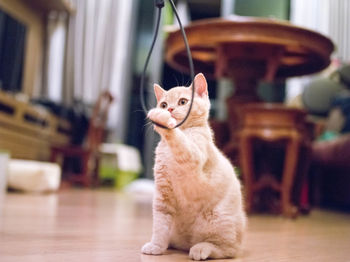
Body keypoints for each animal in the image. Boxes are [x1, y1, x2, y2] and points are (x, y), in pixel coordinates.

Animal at [142, 73, 246, 260]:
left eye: (183, 101)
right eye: (164, 104)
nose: (169, 110)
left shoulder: (192, 155)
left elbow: (180, 141)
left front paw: (163, 122)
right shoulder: (162, 194)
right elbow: (160, 225)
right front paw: (156, 246)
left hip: (218, 220)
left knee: (227, 250)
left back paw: (201, 248)